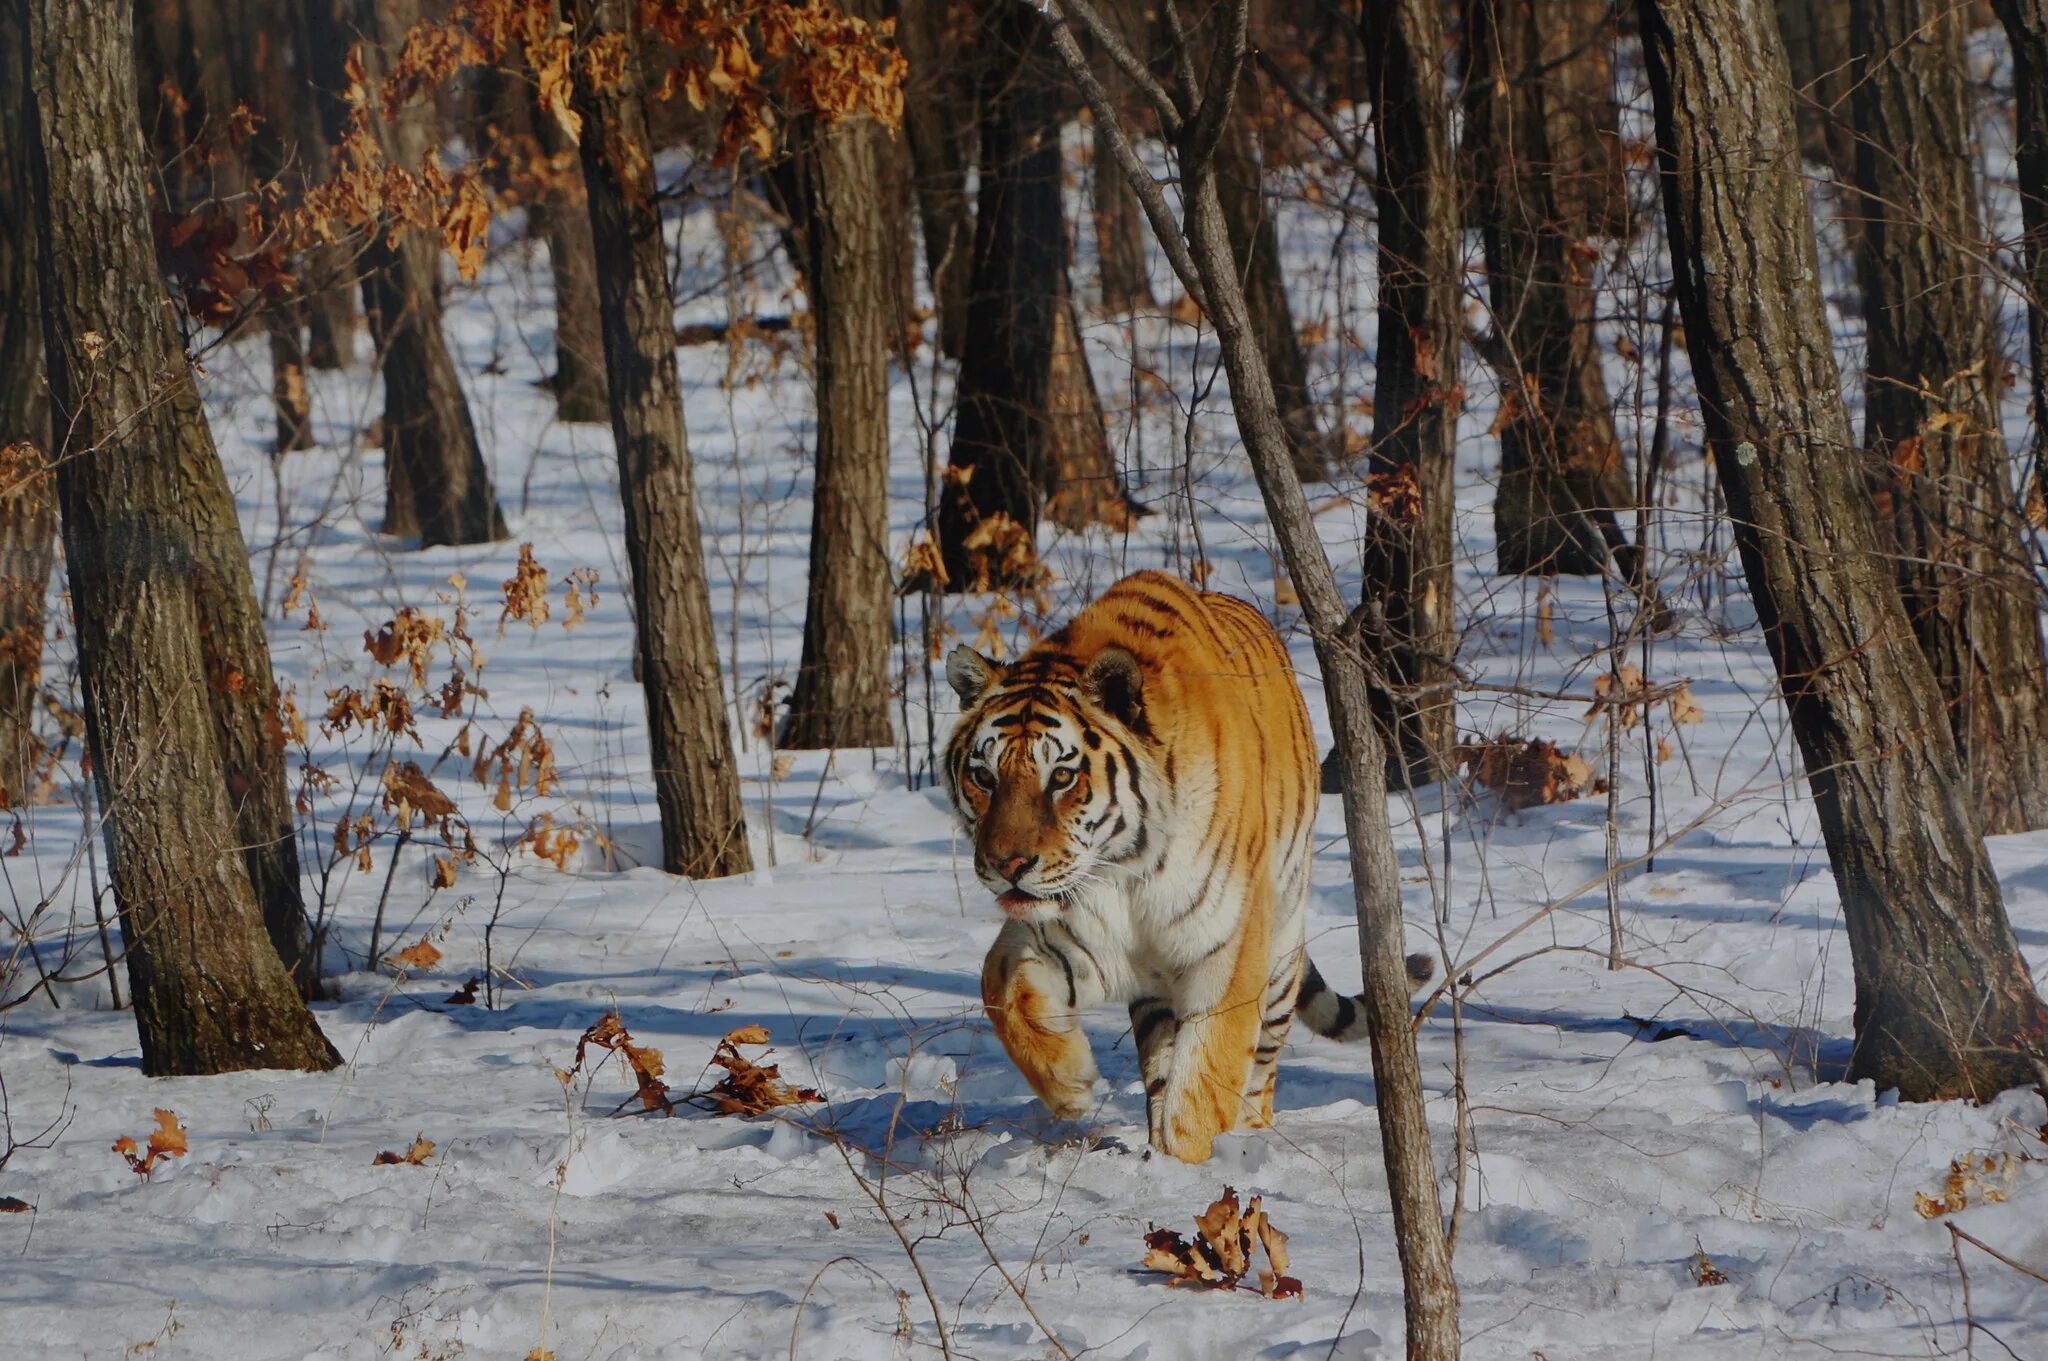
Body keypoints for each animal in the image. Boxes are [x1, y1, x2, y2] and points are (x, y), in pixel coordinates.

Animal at [946, 568, 1417, 1162]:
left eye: (1062, 777)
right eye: (984, 777)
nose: (1006, 864)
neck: (1125, 866)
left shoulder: (1228, 954)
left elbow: (1204, 1085)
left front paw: (1186, 1167)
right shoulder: (1071, 936)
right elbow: (999, 985)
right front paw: (1072, 1083)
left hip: (1280, 949)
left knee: (1260, 1072)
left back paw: (1249, 1137)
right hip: (1157, 995)